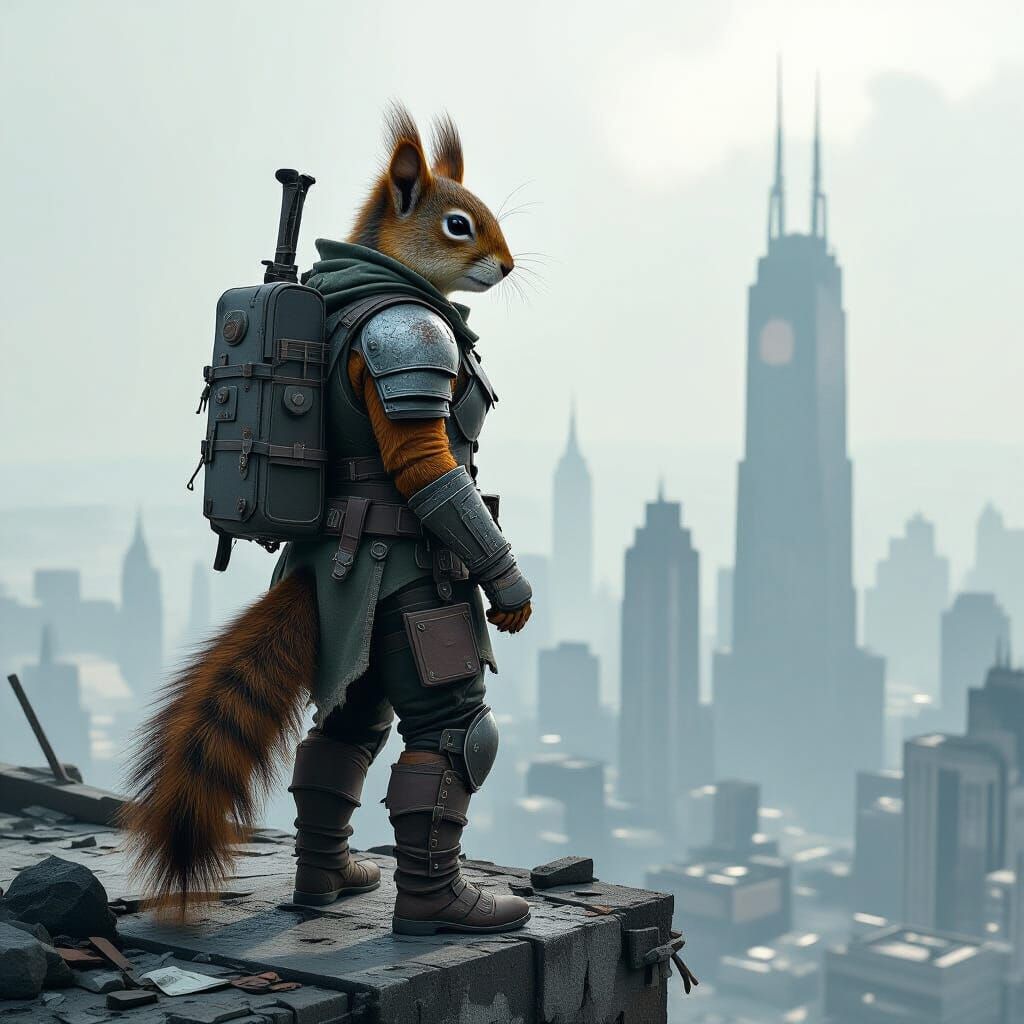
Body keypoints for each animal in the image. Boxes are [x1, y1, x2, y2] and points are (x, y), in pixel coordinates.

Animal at [120, 104, 531, 917]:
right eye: (459, 225)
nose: (505, 266)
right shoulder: (410, 347)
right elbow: (431, 472)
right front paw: (511, 589)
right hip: (415, 604)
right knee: (453, 732)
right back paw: (445, 911)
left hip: (363, 628)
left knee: (345, 735)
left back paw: (327, 881)